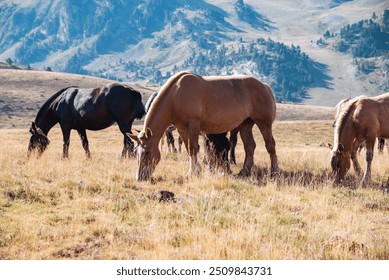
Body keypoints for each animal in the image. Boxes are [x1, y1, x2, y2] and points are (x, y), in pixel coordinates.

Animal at [127, 71, 276, 182]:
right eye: (136, 152)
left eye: (147, 152)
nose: (140, 177)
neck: (176, 94)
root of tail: (265, 86)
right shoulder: (181, 128)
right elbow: (188, 149)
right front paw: (196, 170)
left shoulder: (193, 125)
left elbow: (193, 148)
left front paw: (193, 172)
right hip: (246, 125)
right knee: (250, 146)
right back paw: (244, 171)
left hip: (264, 124)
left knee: (270, 146)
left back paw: (274, 172)